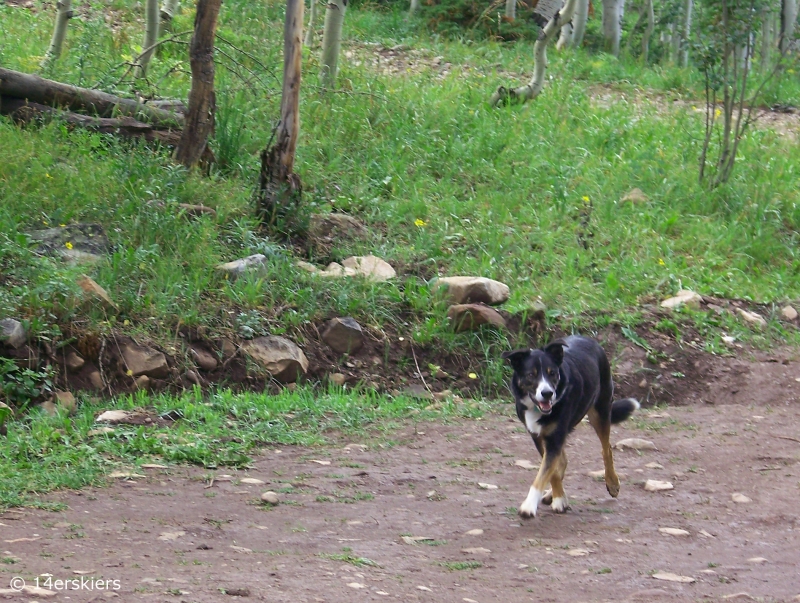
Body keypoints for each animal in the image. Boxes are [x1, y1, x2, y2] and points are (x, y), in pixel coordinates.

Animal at [504, 336, 640, 520]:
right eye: (531, 375)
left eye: (552, 373)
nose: (547, 393)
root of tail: (588, 339)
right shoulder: (539, 437)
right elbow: (551, 470)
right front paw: (558, 497)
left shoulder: (555, 438)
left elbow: (545, 472)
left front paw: (533, 504)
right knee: (563, 461)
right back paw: (550, 494)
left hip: (600, 411)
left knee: (606, 450)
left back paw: (612, 483)